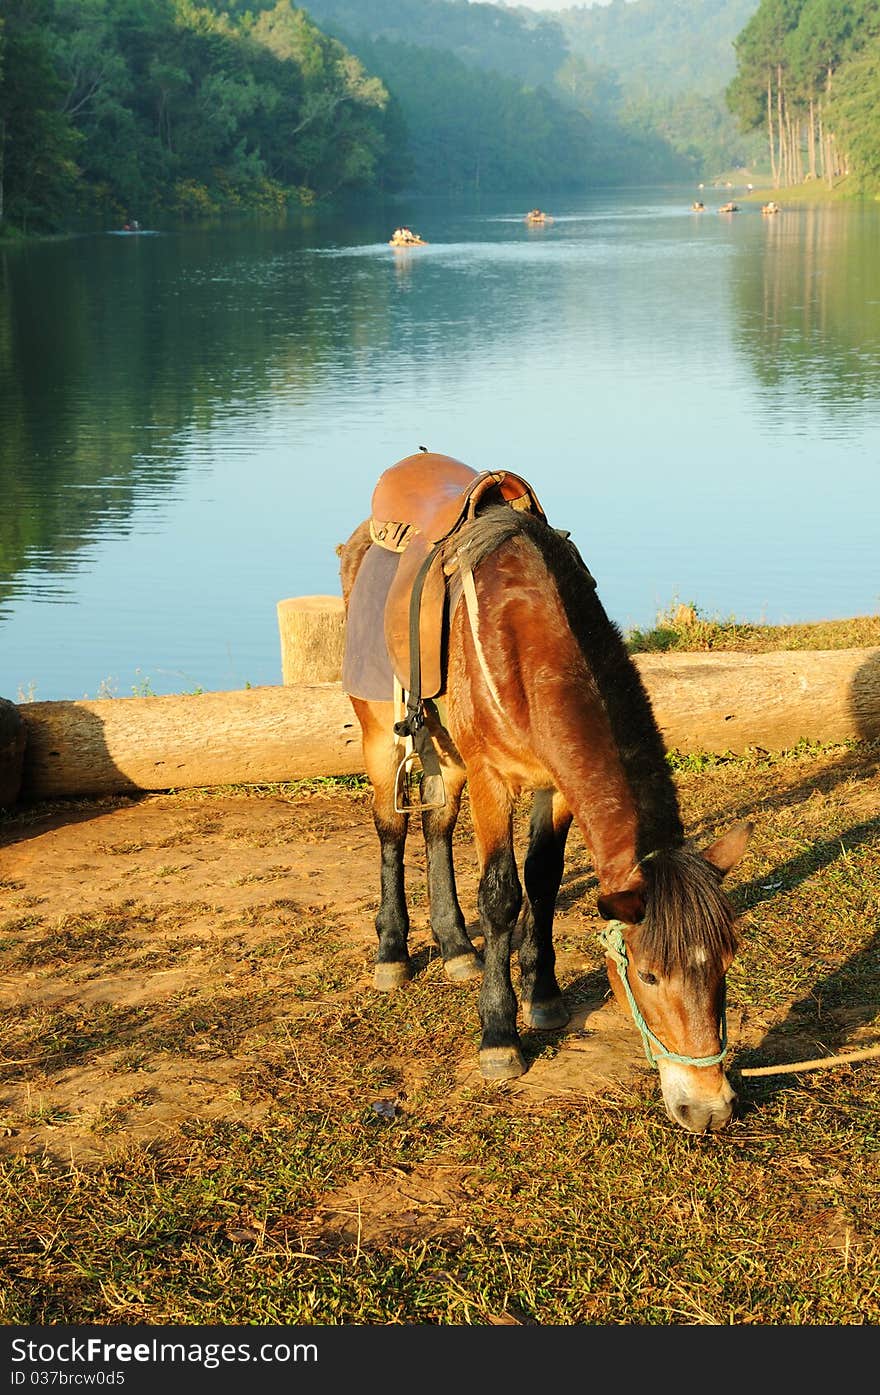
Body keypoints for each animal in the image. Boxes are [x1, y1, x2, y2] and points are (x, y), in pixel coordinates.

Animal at [337, 454, 753, 1132]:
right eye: (648, 975)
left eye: (725, 962)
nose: (709, 1108)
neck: (524, 634)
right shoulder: (493, 780)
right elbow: (503, 893)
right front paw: (500, 1036)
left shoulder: (555, 786)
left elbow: (545, 881)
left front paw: (546, 995)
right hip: (379, 729)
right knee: (392, 828)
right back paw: (393, 952)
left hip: (443, 744)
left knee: (436, 823)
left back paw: (456, 947)